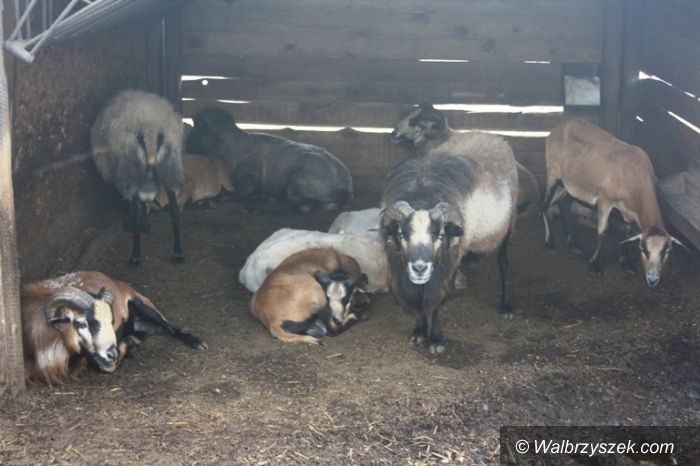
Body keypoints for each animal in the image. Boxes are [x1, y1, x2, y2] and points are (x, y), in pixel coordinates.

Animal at [21, 271, 206, 386]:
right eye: (81, 323)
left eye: (111, 321)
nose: (112, 354)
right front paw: (130, 344)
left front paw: (129, 345)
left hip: (141, 303)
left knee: (170, 326)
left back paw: (197, 342)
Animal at [91, 89, 185, 266]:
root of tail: (150, 129)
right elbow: (145, 202)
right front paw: (146, 223)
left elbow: (133, 203)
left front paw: (138, 224)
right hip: (170, 166)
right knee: (175, 209)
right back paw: (178, 253)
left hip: (130, 170)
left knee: (134, 207)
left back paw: (135, 256)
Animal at [186, 107, 353, 213]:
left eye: (198, 126)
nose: (187, 146)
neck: (230, 145)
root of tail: (346, 188)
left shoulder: (249, 178)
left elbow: (236, 192)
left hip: (297, 181)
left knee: (300, 207)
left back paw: (257, 207)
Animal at [381, 150, 518, 354]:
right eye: (401, 234)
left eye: (440, 234)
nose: (419, 268)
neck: (422, 193)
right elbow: (419, 300)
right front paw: (419, 331)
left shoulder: (444, 269)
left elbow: (437, 300)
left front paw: (437, 339)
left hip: (508, 225)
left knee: (504, 262)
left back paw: (507, 306)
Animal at [541, 118, 685, 287]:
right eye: (644, 250)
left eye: (666, 251)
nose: (653, 280)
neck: (635, 176)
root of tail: (557, 127)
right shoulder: (605, 201)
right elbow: (603, 232)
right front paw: (594, 266)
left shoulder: (628, 211)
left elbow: (627, 232)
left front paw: (626, 264)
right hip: (553, 173)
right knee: (544, 205)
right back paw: (549, 243)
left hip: (570, 185)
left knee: (564, 205)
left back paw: (573, 245)